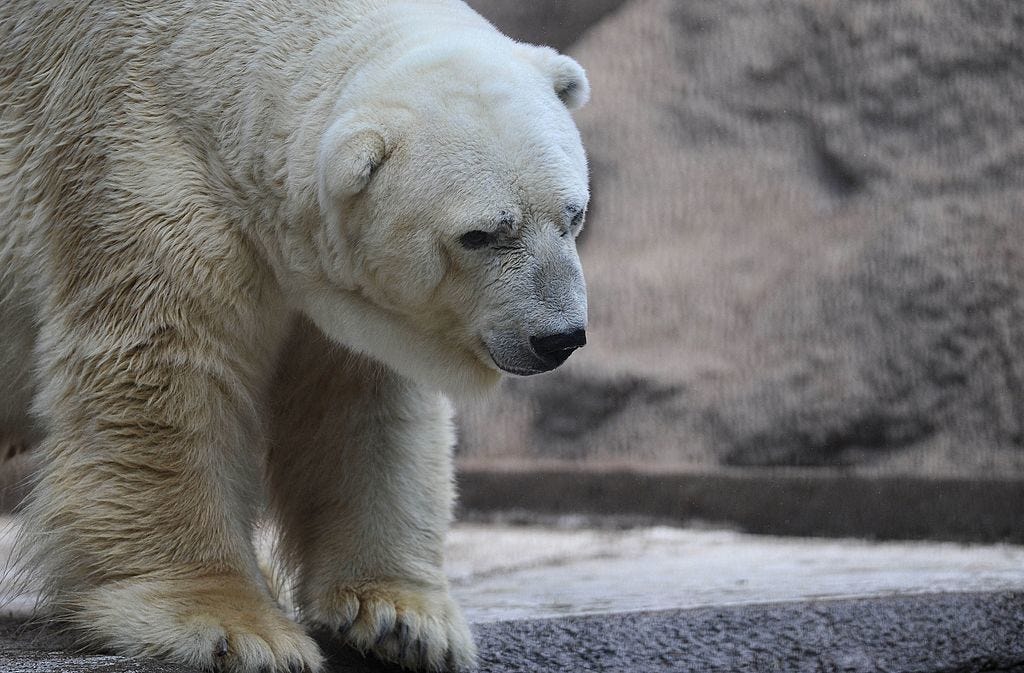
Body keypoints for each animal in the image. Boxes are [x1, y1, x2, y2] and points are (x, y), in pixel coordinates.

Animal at [0, 2, 589, 667]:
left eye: (573, 215)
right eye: (481, 234)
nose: (558, 337)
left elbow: (360, 403)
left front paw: (402, 619)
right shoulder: (135, 164)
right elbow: (164, 374)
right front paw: (237, 627)